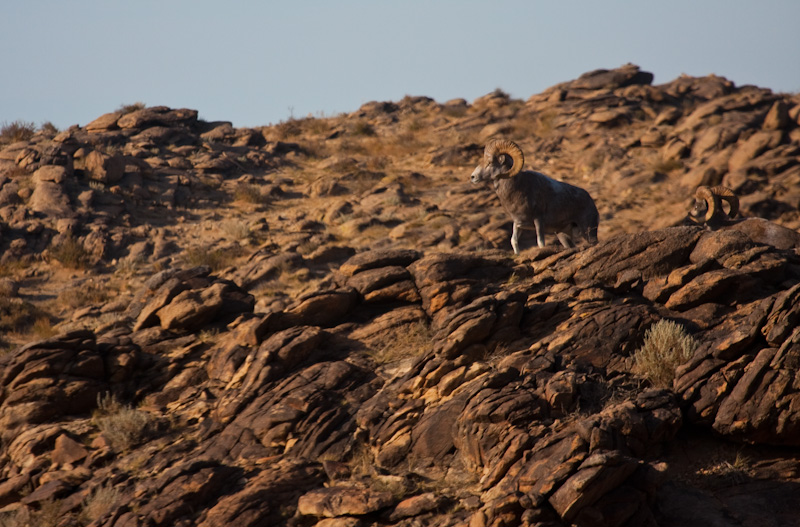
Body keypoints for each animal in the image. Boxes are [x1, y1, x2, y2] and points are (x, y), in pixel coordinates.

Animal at [468, 139, 600, 255]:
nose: (473, 177)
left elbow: (540, 243)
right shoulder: (518, 224)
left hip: (588, 231)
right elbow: (513, 241)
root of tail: (590, 201)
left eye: (490, 162)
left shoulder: (538, 221)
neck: (518, 189)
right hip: (563, 235)